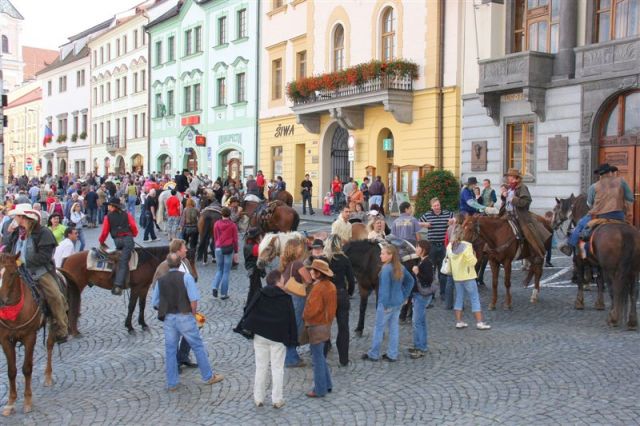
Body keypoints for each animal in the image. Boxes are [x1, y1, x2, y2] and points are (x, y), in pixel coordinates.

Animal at [0, 253, 55, 416]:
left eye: (12, 274)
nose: (0, 300)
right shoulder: (5, 340)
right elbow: (11, 371)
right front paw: (10, 403)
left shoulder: (30, 337)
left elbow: (27, 368)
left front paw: (27, 401)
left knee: (50, 344)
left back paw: (48, 376)